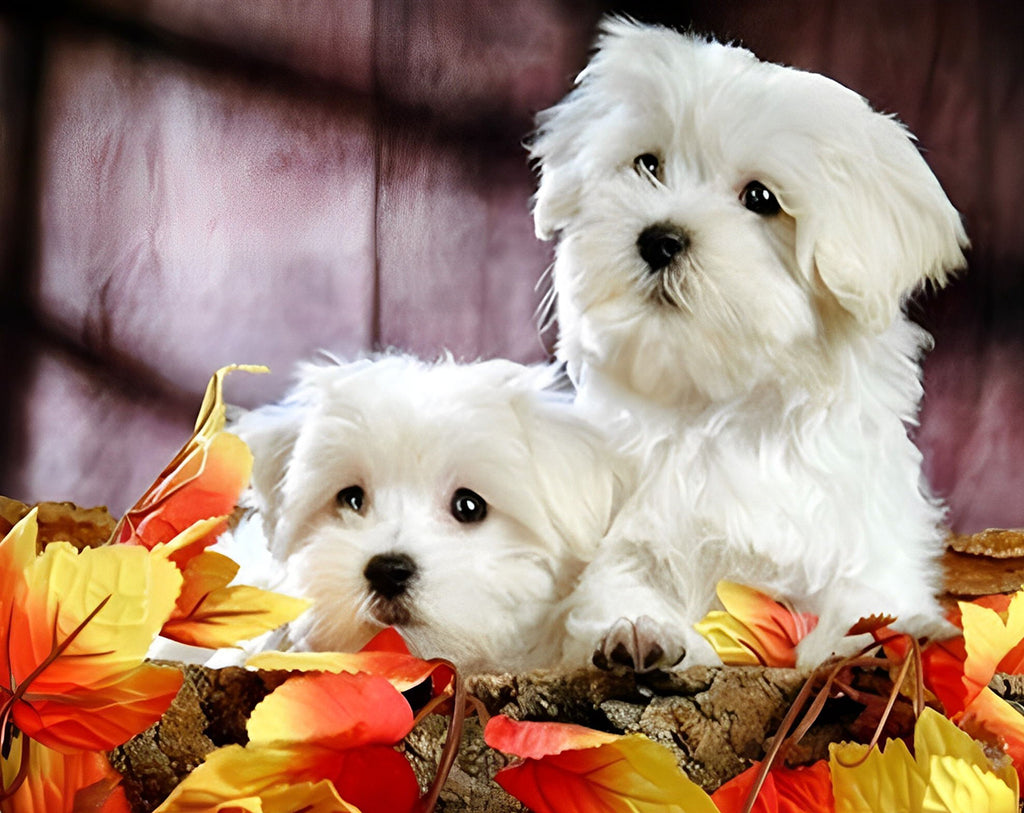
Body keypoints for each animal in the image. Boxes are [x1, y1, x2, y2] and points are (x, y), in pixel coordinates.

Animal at [532, 18, 970, 667]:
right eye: (647, 165)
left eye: (761, 198)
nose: (659, 238)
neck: (720, 409)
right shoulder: (622, 535)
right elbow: (615, 585)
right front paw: (641, 630)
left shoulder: (864, 537)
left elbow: (864, 601)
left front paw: (877, 639)